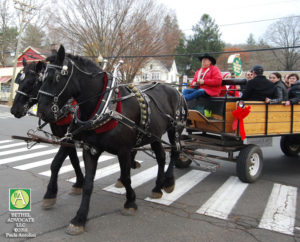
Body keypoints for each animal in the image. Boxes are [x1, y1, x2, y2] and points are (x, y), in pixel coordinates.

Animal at [10, 58, 84, 208]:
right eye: (19, 81)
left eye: (32, 83)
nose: (14, 110)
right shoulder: (65, 137)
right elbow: (74, 160)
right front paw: (79, 182)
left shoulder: (69, 137)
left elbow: (55, 164)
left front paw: (50, 193)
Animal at [37, 45, 188, 234]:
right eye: (41, 78)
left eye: (57, 77)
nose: (42, 111)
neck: (106, 105)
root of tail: (176, 91)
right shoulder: (90, 149)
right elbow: (88, 184)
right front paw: (80, 218)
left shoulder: (124, 150)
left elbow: (126, 176)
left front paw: (130, 202)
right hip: (154, 135)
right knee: (161, 157)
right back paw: (157, 187)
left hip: (174, 129)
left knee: (175, 151)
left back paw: (168, 182)